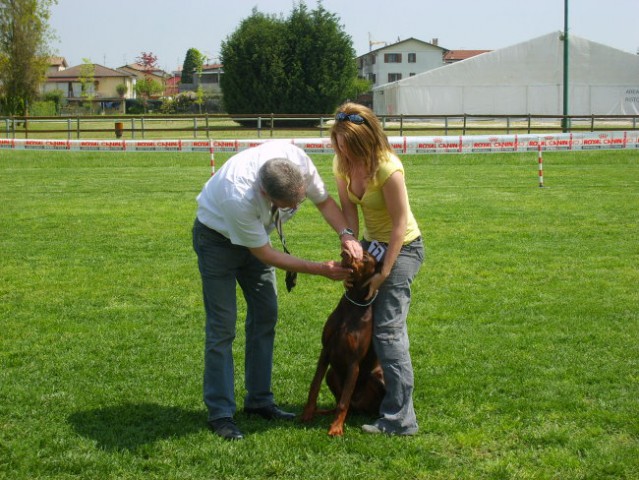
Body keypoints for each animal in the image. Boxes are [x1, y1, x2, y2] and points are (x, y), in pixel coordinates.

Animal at [300, 249, 384, 436]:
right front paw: (307, 413)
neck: (354, 302)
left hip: (377, 378)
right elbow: (314, 386)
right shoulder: (325, 351)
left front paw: (336, 428)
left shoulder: (354, 362)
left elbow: (343, 402)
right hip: (331, 373)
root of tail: (358, 407)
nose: (346, 251)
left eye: (365, 257)